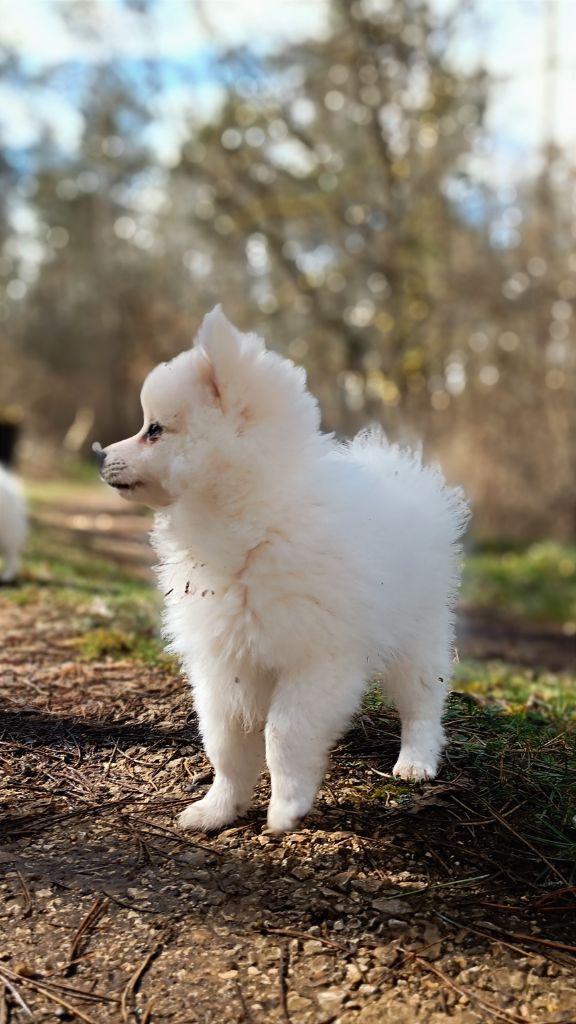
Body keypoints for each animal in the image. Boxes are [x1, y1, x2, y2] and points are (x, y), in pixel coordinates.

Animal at [97, 307, 467, 835]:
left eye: (155, 430)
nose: (101, 454)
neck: (253, 526)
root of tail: (400, 470)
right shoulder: (226, 660)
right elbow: (227, 744)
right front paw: (218, 809)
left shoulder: (316, 658)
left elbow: (284, 734)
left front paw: (287, 806)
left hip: (417, 631)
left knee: (422, 700)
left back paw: (416, 761)